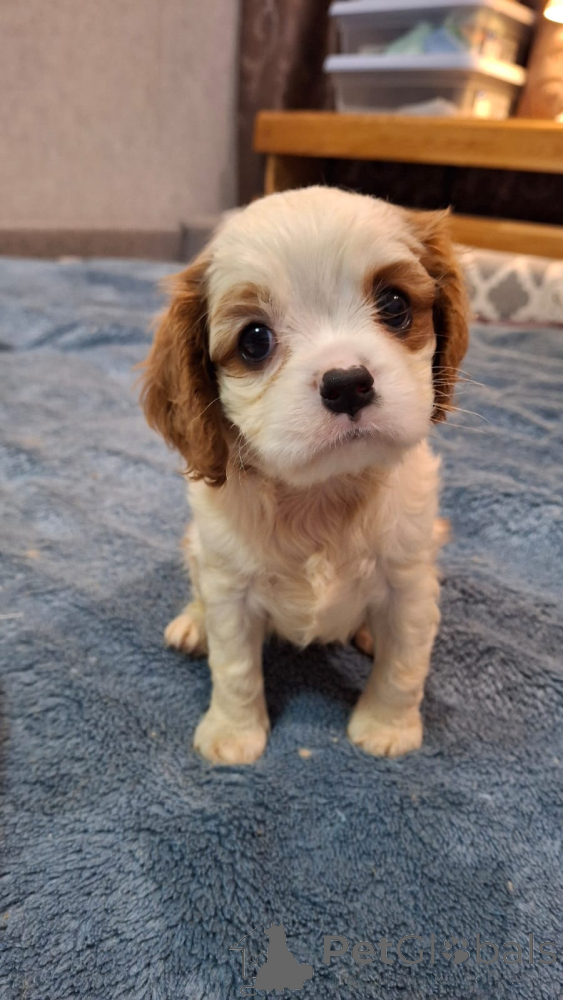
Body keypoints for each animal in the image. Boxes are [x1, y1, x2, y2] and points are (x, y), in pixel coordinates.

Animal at [141, 187, 468, 765]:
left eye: (395, 305)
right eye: (254, 340)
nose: (347, 383)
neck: (323, 494)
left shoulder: (410, 583)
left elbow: (404, 666)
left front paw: (386, 727)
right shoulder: (231, 591)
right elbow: (234, 668)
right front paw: (233, 734)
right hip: (198, 550)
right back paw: (193, 624)